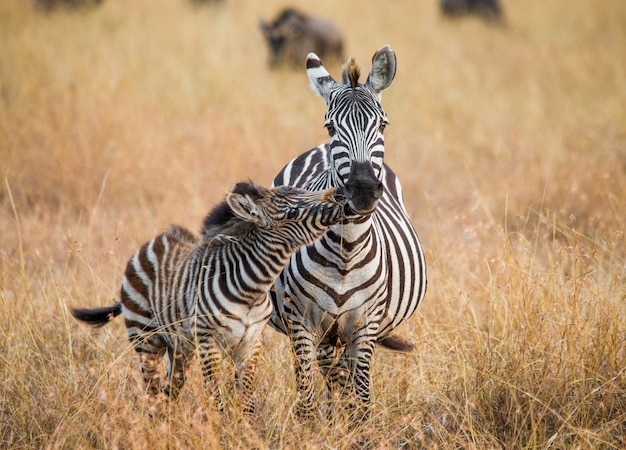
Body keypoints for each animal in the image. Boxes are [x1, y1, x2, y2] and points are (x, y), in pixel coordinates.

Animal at [73, 181, 348, 414]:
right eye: (291, 213)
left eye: (301, 190)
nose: (338, 195)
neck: (253, 290)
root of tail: (154, 241)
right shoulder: (208, 342)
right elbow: (217, 398)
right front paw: (225, 431)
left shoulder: (252, 342)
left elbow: (247, 400)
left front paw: (246, 430)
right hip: (146, 339)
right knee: (152, 393)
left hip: (180, 347)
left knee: (169, 391)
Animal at [270, 45, 426, 418]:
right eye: (330, 127)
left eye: (382, 123)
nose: (363, 190)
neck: (346, 250)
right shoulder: (302, 322)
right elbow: (306, 397)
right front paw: (316, 426)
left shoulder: (364, 325)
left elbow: (363, 397)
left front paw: (355, 426)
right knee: (330, 372)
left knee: (342, 374)